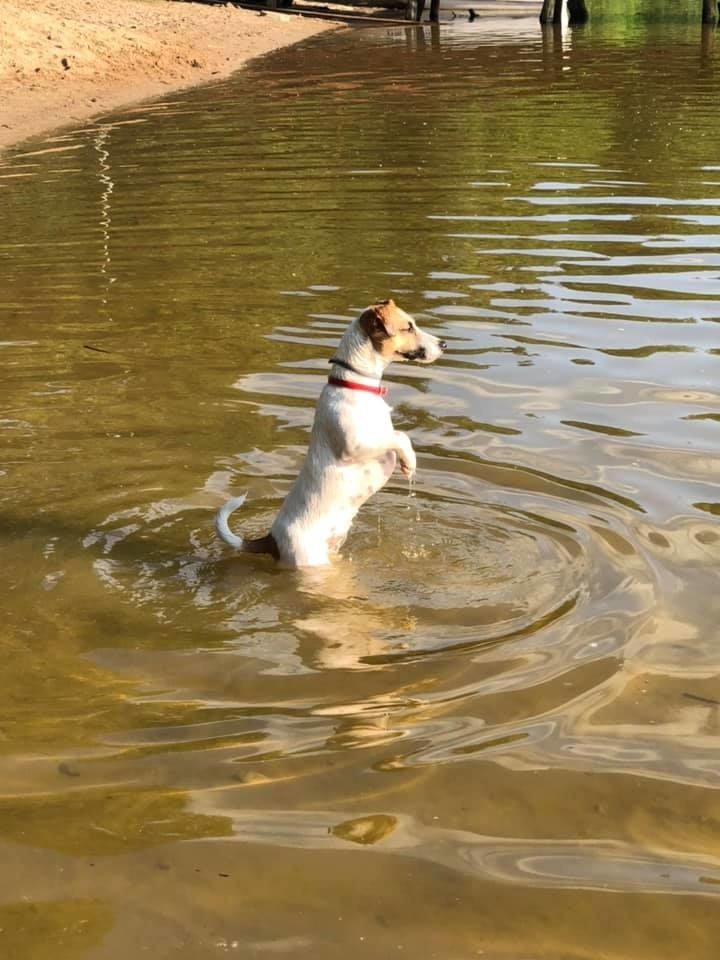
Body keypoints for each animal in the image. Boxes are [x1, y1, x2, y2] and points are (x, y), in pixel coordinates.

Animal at [215, 300, 444, 568]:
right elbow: (399, 437)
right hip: (311, 561)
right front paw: (410, 462)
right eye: (408, 328)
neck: (356, 384)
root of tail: (271, 540)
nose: (443, 344)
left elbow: (398, 435)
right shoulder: (354, 446)